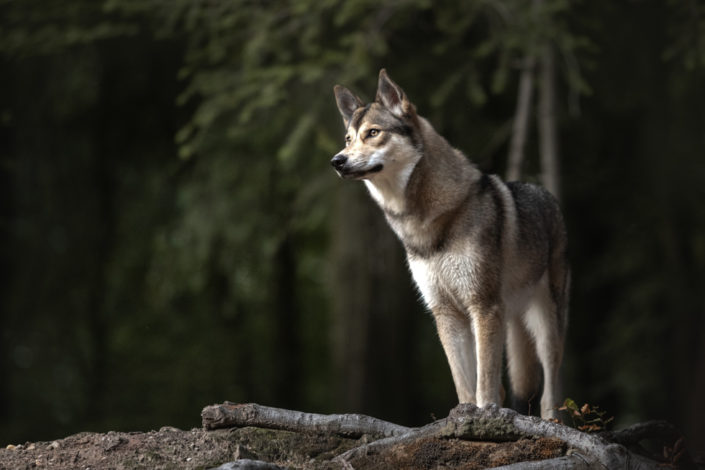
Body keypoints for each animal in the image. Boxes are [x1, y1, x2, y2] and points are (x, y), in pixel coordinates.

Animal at [330, 68, 568, 416]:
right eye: (348, 139)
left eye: (373, 133)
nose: (336, 161)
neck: (426, 223)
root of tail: (544, 192)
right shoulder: (445, 313)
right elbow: (464, 382)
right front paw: (466, 414)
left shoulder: (483, 305)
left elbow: (485, 384)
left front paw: (484, 415)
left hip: (545, 324)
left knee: (551, 392)